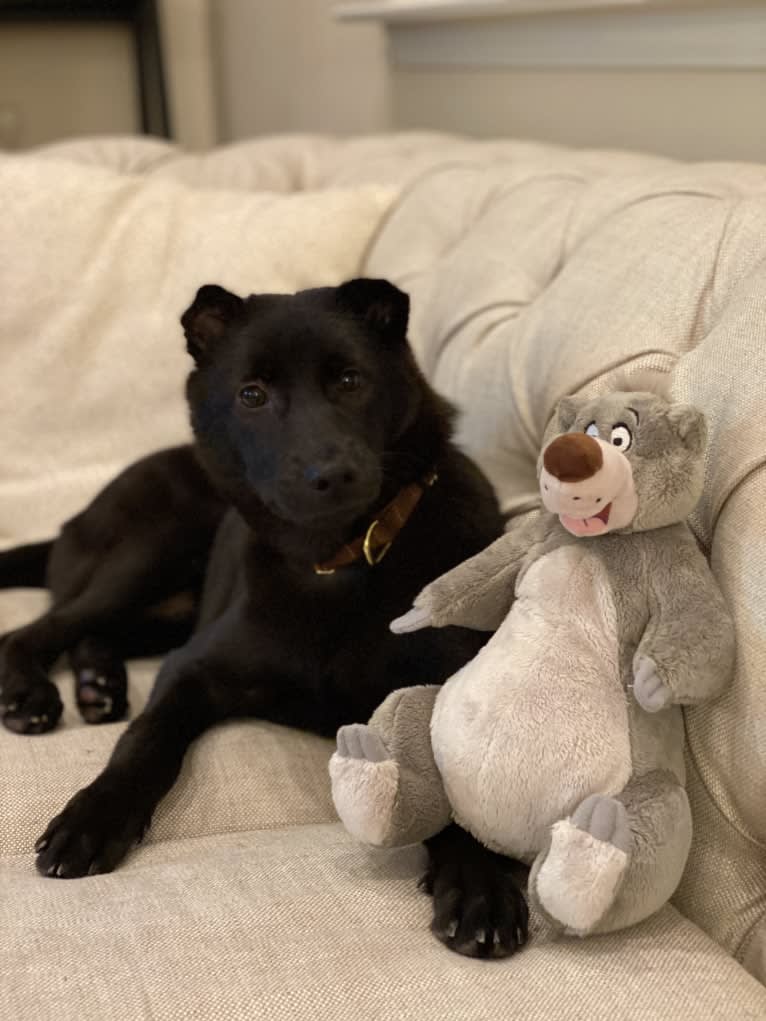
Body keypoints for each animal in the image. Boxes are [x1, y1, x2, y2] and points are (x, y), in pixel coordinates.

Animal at [0, 279, 527, 955]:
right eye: (251, 395)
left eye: (350, 380)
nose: (331, 475)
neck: (334, 562)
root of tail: (75, 517)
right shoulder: (194, 668)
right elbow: (144, 740)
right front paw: (92, 818)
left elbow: (453, 785)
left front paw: (480, 881)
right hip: (148, 551)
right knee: (34, 631)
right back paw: (33, 696)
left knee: (90, 634)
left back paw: (98, 684)